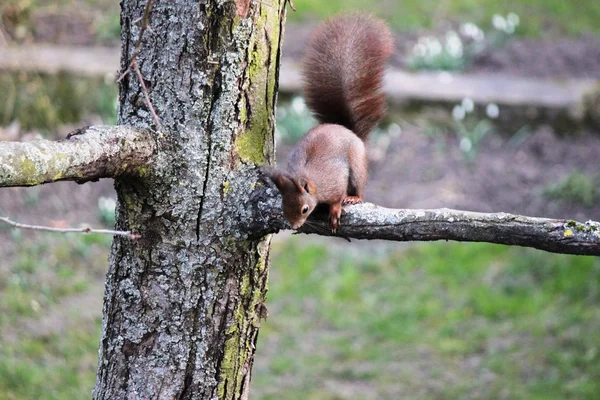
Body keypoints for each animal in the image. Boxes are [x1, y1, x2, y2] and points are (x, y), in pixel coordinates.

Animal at [268, 13, 394, 231]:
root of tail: (347, 129)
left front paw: (335, 211)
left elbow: (337, 197)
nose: (294, 226)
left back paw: (354, 197)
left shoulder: (335, 181)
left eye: (304, 209)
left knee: (359, 186)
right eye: (283, 206)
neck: (311, 179)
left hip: (357, 165)